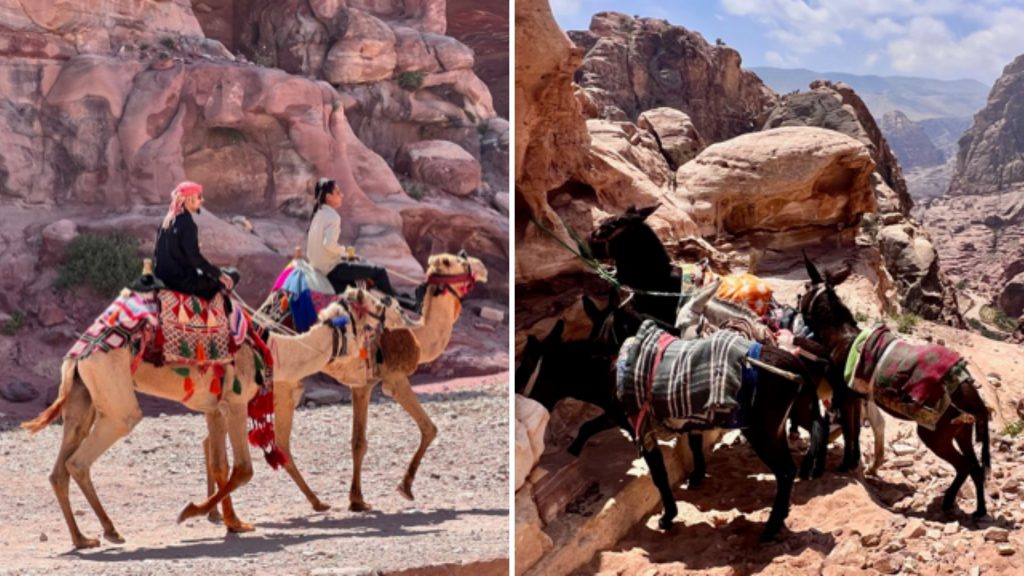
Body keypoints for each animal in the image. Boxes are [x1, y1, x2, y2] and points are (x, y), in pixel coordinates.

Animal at [23, 291, 380, 545]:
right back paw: (110, 531)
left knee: (59, 470)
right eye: (373, 314)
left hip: (82, 398)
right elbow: (244, 469)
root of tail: (77, 356)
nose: (372, 363)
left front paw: (234, 522)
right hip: (114, 397)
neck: (274, 350)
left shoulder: (216, 408)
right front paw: (191, 512)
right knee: (82, 459)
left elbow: (222, 465)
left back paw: (82, 538)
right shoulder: (236, 403)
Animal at [226, 249, 489, 508]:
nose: (482, 266)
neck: (416, 335)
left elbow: (358, 442)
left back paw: (315, 501)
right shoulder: (392, 378)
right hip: (284, 385)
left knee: (276, 442)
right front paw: (402, 488)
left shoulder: (360, 384)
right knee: (276, 440)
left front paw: (357, 498)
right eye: (457, 261)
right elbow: (428, 428)